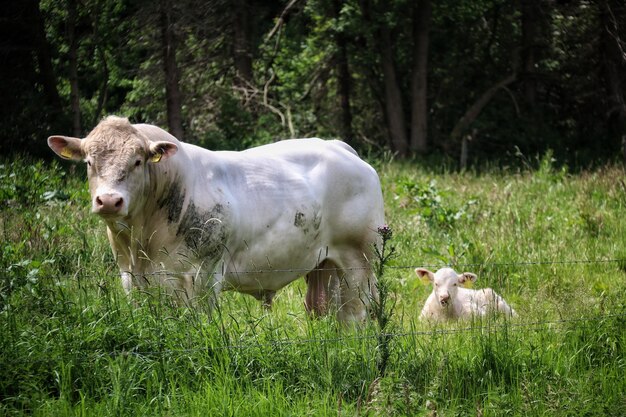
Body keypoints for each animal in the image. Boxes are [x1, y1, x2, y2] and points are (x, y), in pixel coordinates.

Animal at [47, 114, 386, 322]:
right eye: (89, 162)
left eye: (138, 160)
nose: (109, 200)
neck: (142, 241)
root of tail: (338, 146)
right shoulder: (131, 278)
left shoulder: (202, 275)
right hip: (325, 265)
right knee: (326, 310)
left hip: (360, 261)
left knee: (355, 313)